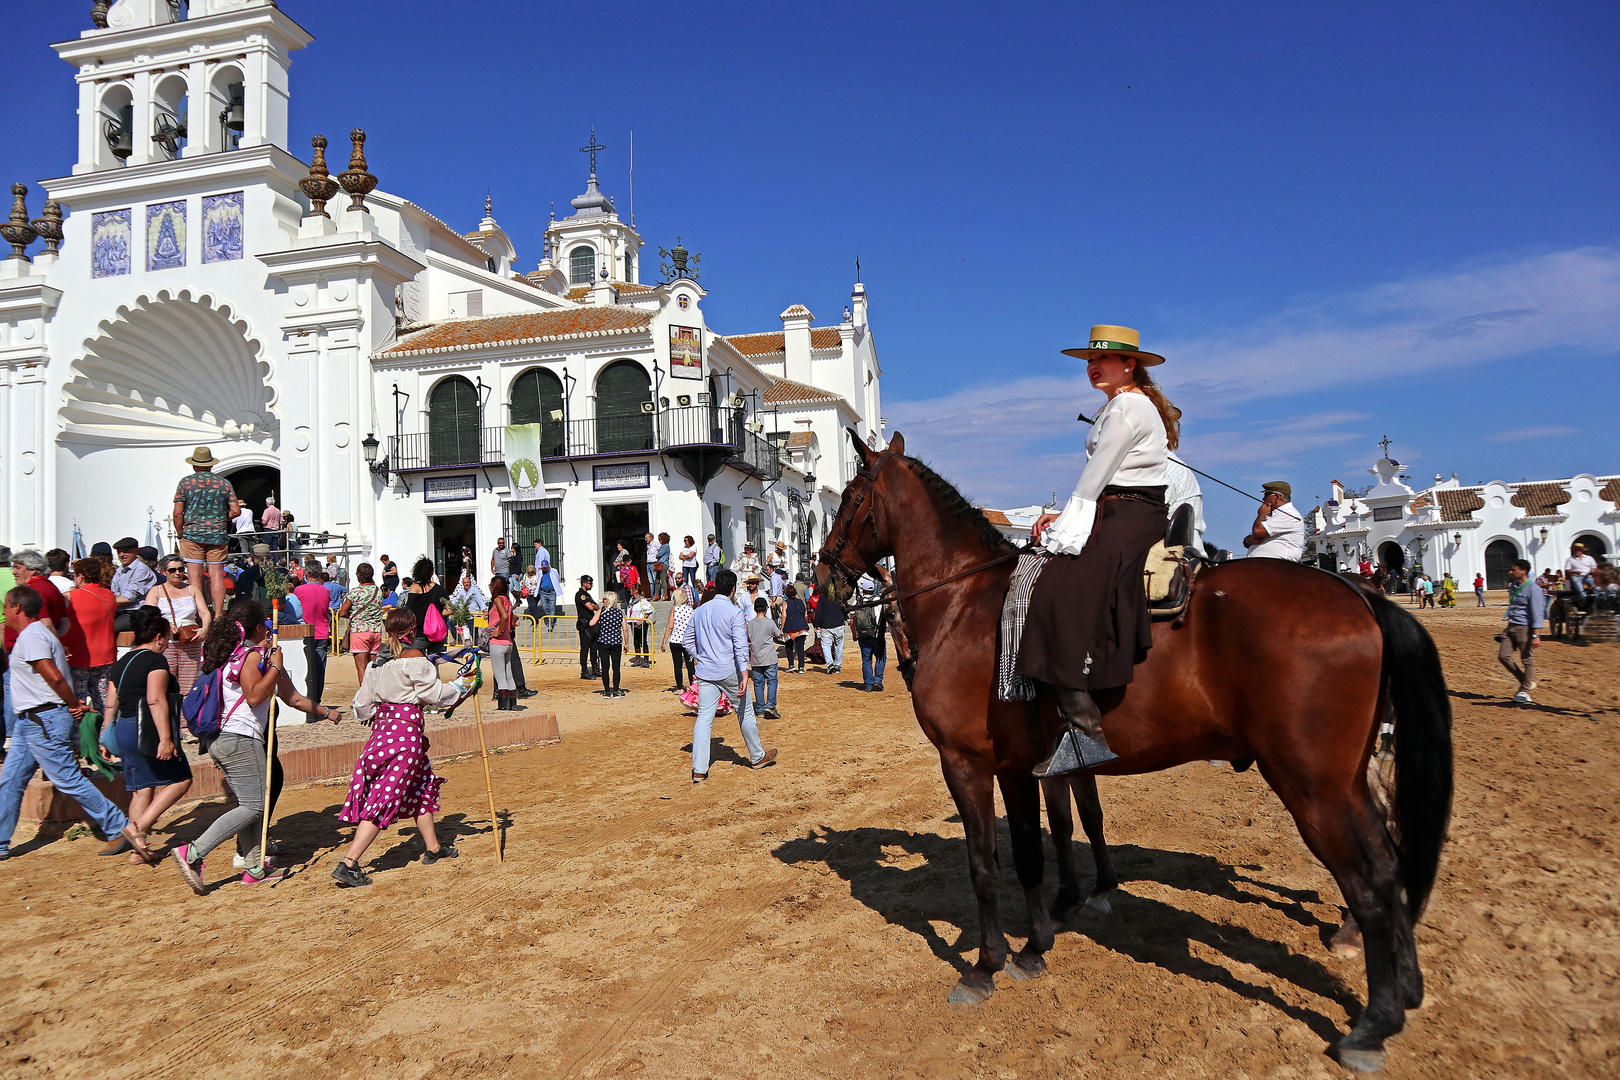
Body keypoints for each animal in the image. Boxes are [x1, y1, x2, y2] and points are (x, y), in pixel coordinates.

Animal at [816, 430, 1451, 1075]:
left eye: (852, 496)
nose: (824, 574)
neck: (965, 603)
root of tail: (1358, 596)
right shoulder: (1018, 769)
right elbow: (1031, 854)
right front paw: (1035, 946)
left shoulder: (965, 764)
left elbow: (985, 864)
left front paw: (985, 966)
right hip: (1347, 782)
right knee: (1391, 863)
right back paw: (1403, 988)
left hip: (1314, 789)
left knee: (1369, 882)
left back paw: (1372, 1023)